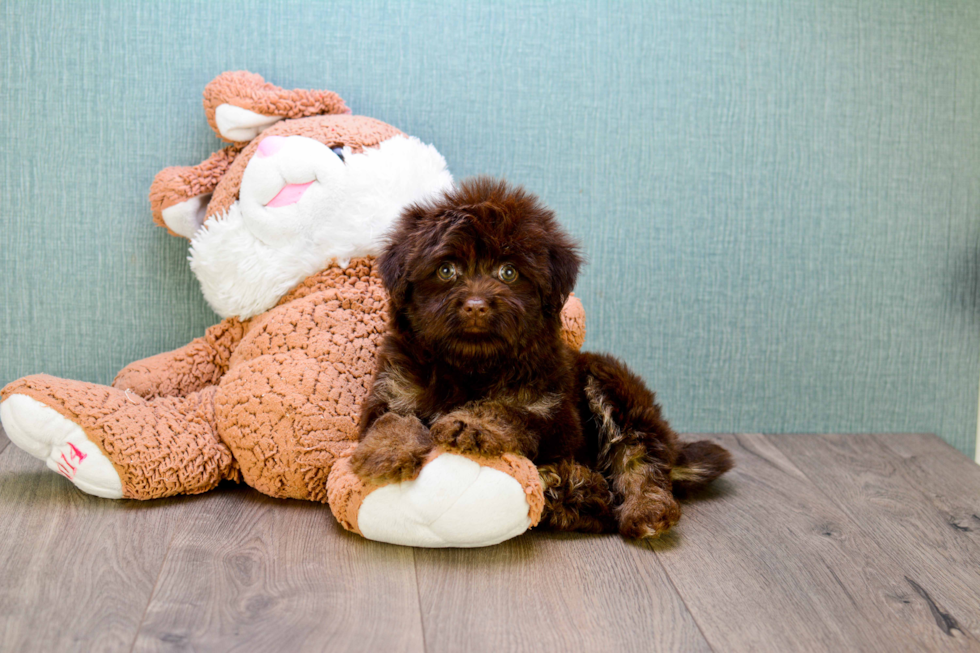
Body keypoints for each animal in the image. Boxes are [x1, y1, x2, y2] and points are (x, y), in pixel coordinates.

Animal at [348, 176, 732, 536]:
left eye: (508, 271)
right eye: (446, 270)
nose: (476, 306)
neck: (471, 365)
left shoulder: (555, 415)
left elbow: (509, 410)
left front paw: (470, 423)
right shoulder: (393, 385)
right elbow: (391, 417)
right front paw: (387, 449)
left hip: (610, 380)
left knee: (638, 454)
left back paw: (642, 508)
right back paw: (576, 493)